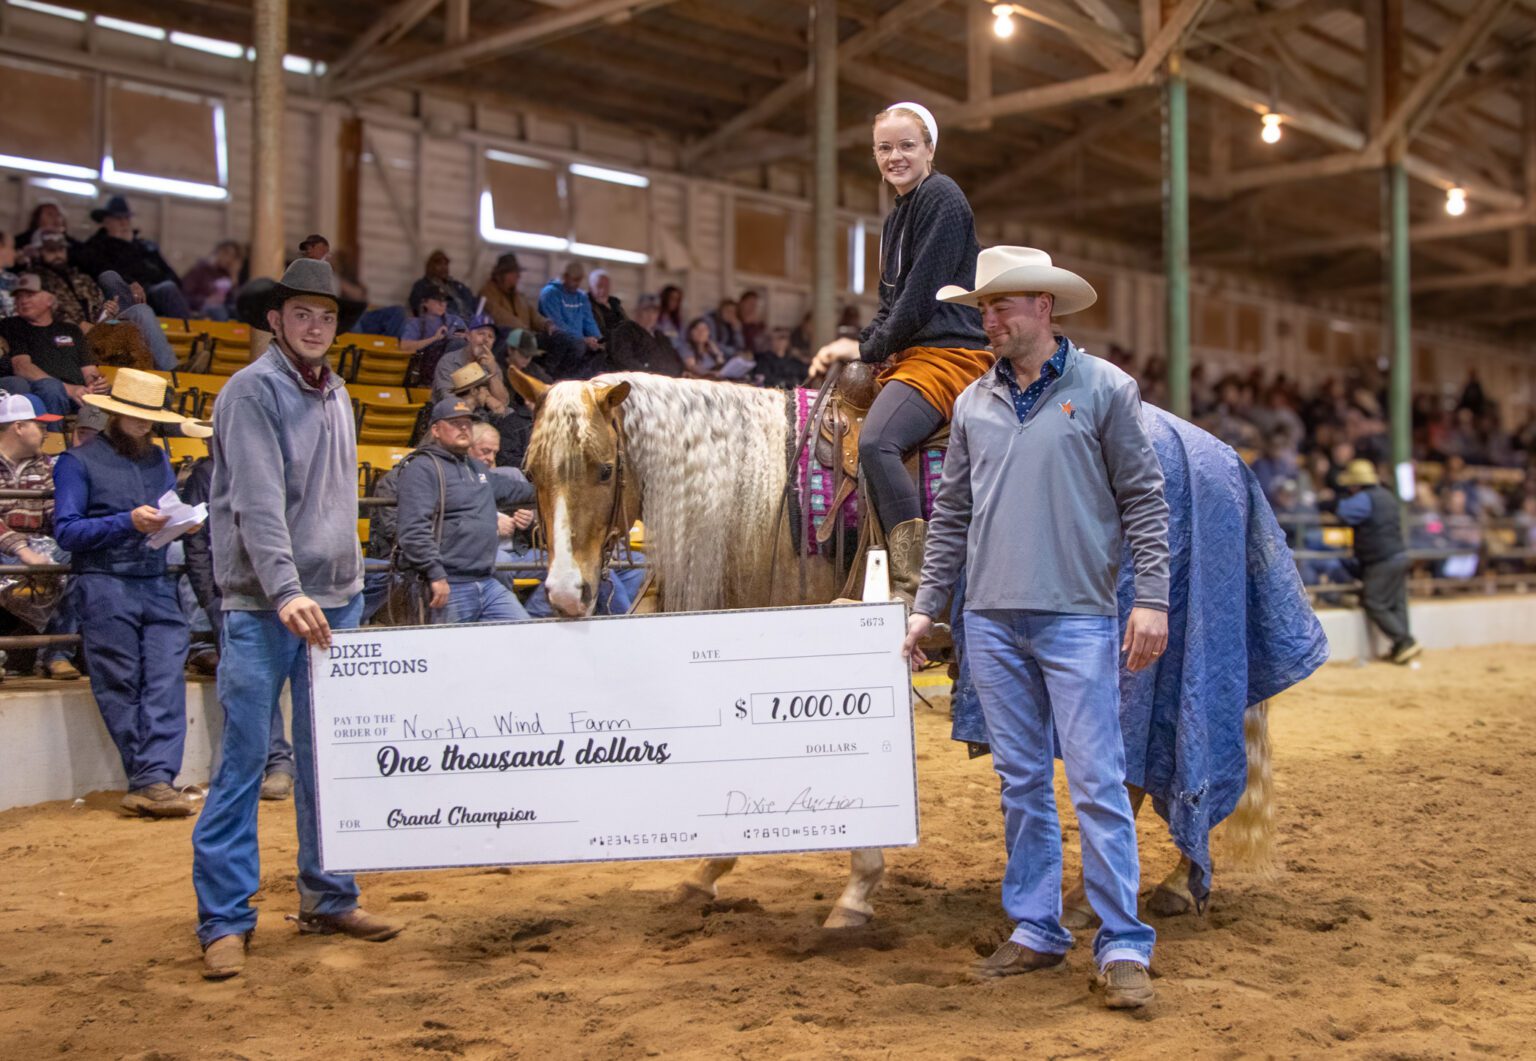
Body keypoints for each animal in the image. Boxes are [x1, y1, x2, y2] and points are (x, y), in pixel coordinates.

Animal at [513, 366, 1296, 927]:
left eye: (604, 469)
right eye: (531, 471)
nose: (563, 593)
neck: (766, 492)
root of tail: (1221, 456)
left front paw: (855, 890)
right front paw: (704, 869)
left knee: (1141, 771)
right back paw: (1167, 885)